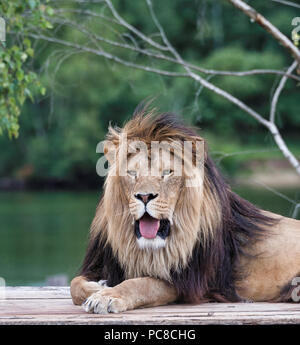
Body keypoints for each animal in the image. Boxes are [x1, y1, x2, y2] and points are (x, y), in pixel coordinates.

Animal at [71, 104, 300, 312]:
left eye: (167, 172)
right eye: (132, 173)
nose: (144, 196)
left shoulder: (189, 283)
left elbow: (141, 284)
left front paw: (107, 296)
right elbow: (75, 284)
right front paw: (97, 287)